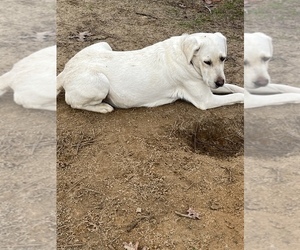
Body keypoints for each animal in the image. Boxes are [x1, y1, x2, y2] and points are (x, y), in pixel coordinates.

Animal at [56, 32, 244, 113]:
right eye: (207, 62)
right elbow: (237, 96)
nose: (219, 82)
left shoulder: (209, 84)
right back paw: (103, 107)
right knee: (74, 103)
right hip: (101, 83)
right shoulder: (206, 100)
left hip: (104, 44)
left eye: (223, 59)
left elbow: (236, 88)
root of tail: (65, 71)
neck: (186, 57)